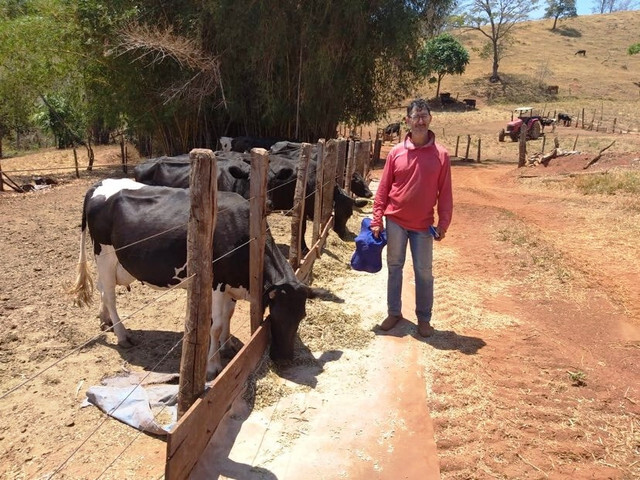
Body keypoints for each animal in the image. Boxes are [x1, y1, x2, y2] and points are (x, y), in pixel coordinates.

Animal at [73, 179, 336, 378]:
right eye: (275, 317)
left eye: (301, 316)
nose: (284, 359)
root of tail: (99, 184)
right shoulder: (216, 283)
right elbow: (216, 325)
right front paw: (213, 364)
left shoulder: (231, 282)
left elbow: (228, 315)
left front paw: (228, 346)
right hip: (104, 254)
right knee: (109, 294)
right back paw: (122, 334)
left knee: (102, 289)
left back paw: (105, 319)